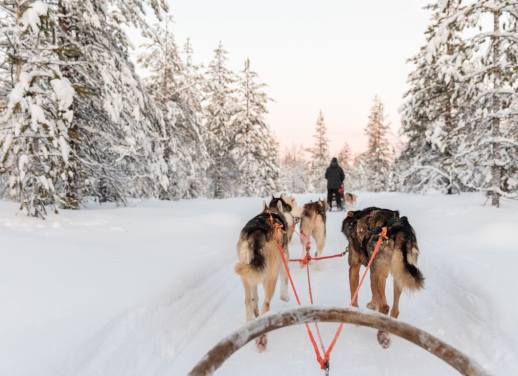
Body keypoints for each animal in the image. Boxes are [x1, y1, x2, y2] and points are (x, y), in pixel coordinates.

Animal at [237, 201, 290, 352]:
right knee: (265, 305)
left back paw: (250, 326)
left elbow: (254, 298)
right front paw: (285, 296)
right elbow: (285, 281)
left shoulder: (254, 277)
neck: (271, 212)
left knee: (248, 302)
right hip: (271, 278)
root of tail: (257, 230)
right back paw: (262, 338)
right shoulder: (283, 263)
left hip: (245, 276)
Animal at [344, 207, 424, 348]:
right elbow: (374, 294)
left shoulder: (355, 268)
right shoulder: (372, 270)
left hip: (379, 274)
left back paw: (381, 335)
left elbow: (354, 294)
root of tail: (399, 230)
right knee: (395, 309)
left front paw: (355, 313)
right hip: (398, 274)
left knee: (385, 307)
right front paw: (372, 305)